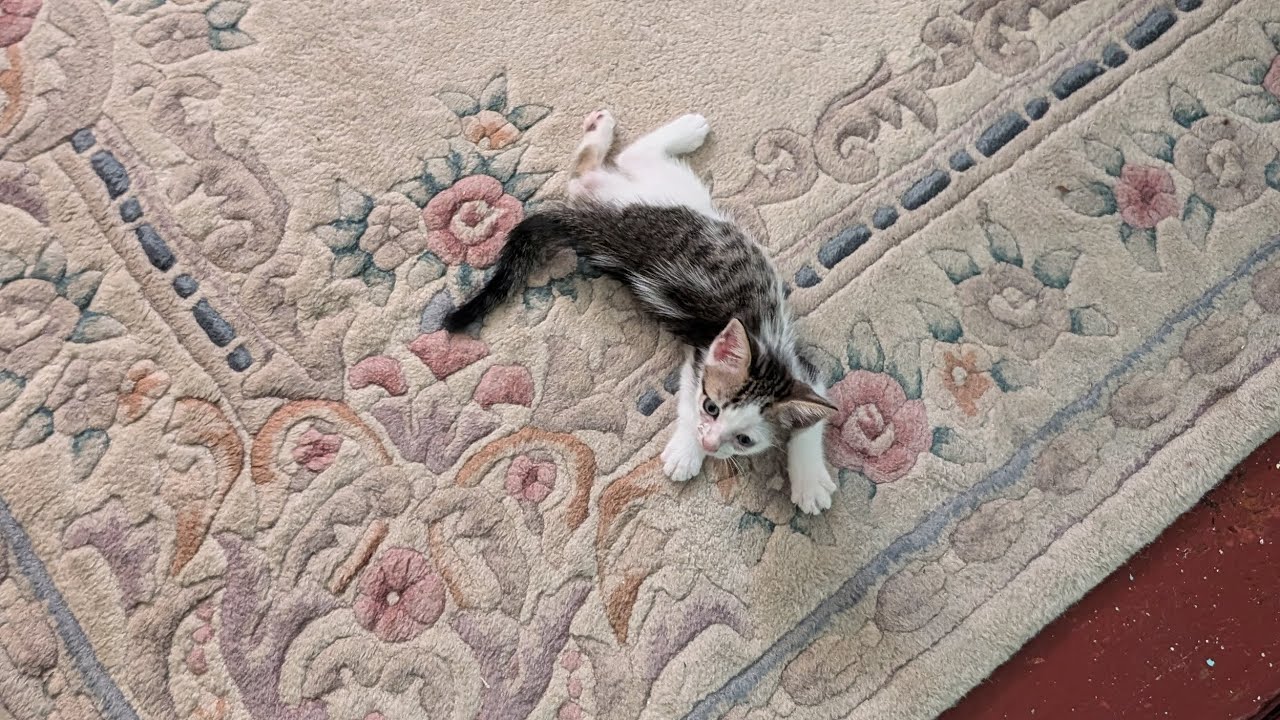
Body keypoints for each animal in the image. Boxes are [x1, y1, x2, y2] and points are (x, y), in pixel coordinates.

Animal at [443, 110, 840, 514]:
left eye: (745, 440)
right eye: (711, 408)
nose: (710, 444)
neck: (764, 347)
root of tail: (599, 224)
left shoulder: (800, 370)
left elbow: (810, 424)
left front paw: (809, 480)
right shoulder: (703, 355)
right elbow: (686, 398)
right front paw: (686, 450)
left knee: (581, 179)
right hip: (669, 189)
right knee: (628, 158)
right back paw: (679, 129)